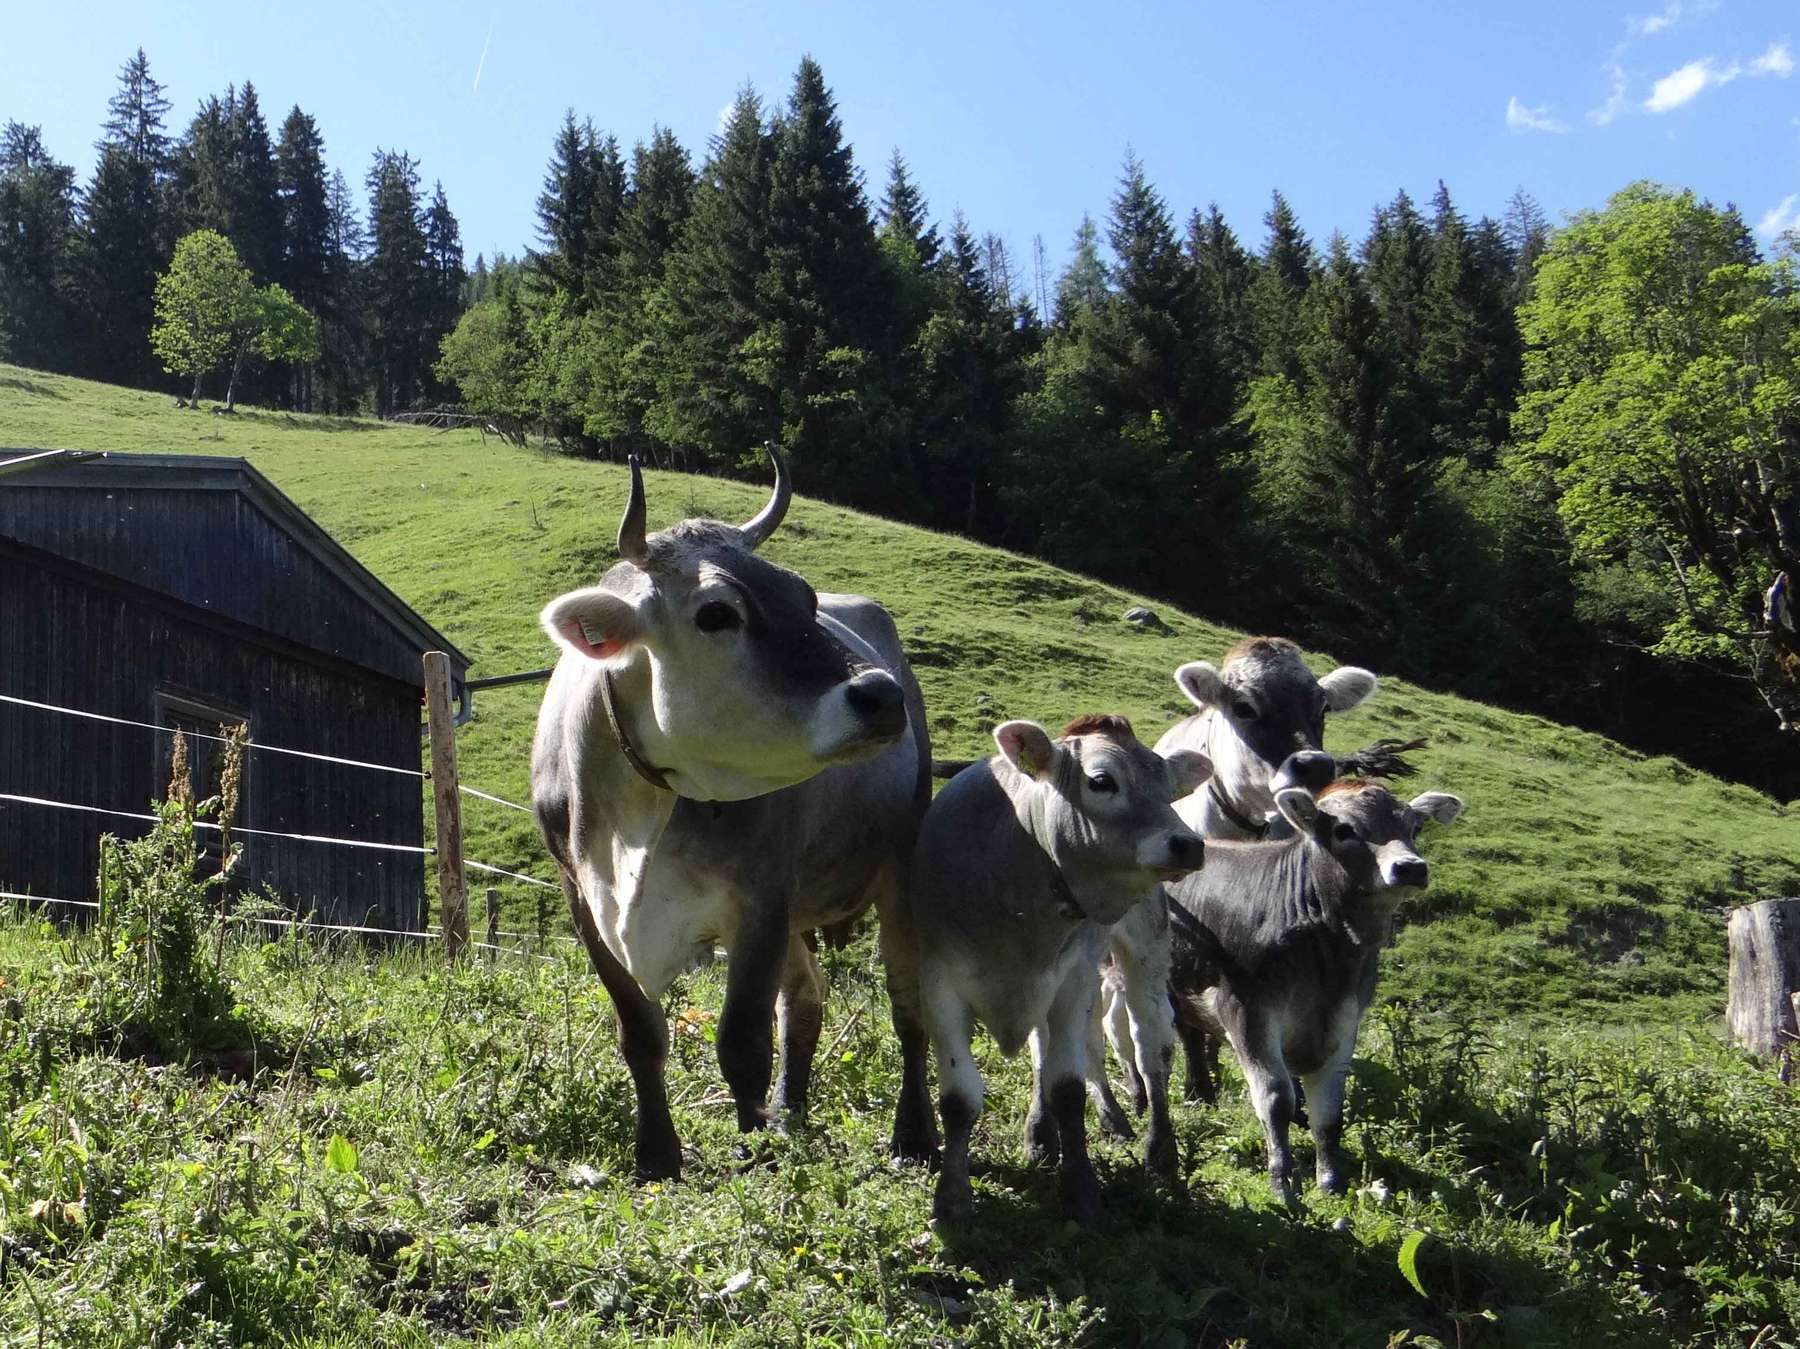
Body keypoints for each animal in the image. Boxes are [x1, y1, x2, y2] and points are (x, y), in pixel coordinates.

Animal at [525, 444, 928, 1181]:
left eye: (805, 597)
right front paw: (657, 1154)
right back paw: (791, 1113)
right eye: (717, 614)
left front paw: (754, 1150)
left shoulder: (761, 896)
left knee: (907, 1005)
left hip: (902, 865)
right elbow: (640, 1034)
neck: (638, 814)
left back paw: (912, 1135)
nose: (882, 696)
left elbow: (741, 1040)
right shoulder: (582, 897)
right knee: (806, 995)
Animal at [896, 709, 1209, 1224]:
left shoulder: (1072, 982)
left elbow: (1067, 1088)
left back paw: (1160, 1151)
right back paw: (1041, 1135)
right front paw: (953, 1196)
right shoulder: (939, 984)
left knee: (1150, 1047)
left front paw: (1081, 1189)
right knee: (1044, 1050)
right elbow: (960, 1098)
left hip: (1143, 953)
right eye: (1102, 781)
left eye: (1168, 789)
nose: (1187, 844)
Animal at [1166, 774, 1461, 1203]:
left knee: (1191, 1034)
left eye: (1414, 827)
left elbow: (1330, 1110)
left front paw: (1331, 1181)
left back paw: (1201, 1091)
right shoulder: (1247, 1011)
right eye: (1344, 830)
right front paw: (1283, 1182)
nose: (1410, 868)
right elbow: (1276, 1099)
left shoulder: (1345, 1016)